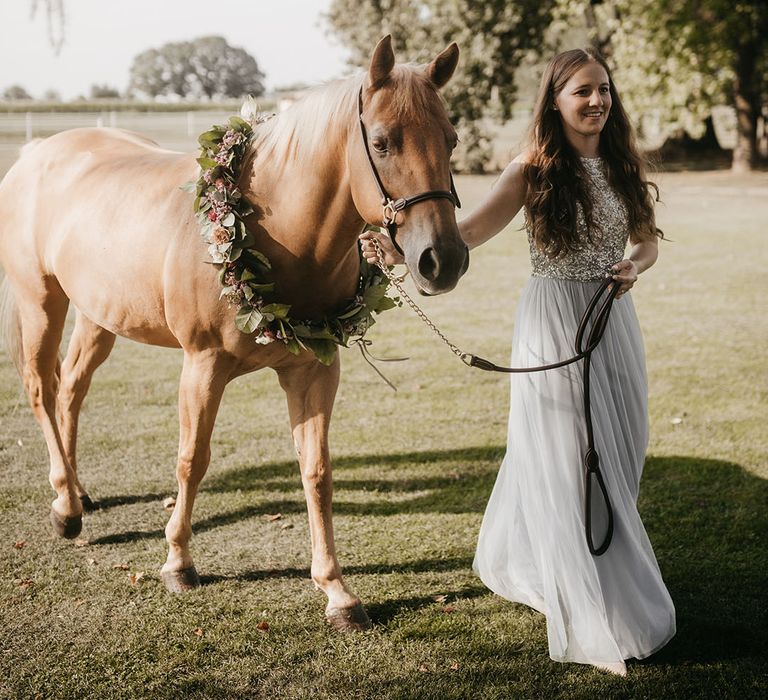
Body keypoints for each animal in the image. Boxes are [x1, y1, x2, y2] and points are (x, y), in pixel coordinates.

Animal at [0, 35, 468, 632]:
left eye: (451, 139)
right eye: (383, 143)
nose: (443, 260)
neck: (271, 228)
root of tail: (36, 153)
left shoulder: (314, 372)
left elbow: (316, 472)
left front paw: (337, 591)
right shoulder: (203, 366)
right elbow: (192, 459)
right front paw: (178, 562)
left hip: (97, 316)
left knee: (71, 392)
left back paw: (80, 494)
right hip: (42, 303)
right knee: (42, 388)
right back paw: (65, 509)